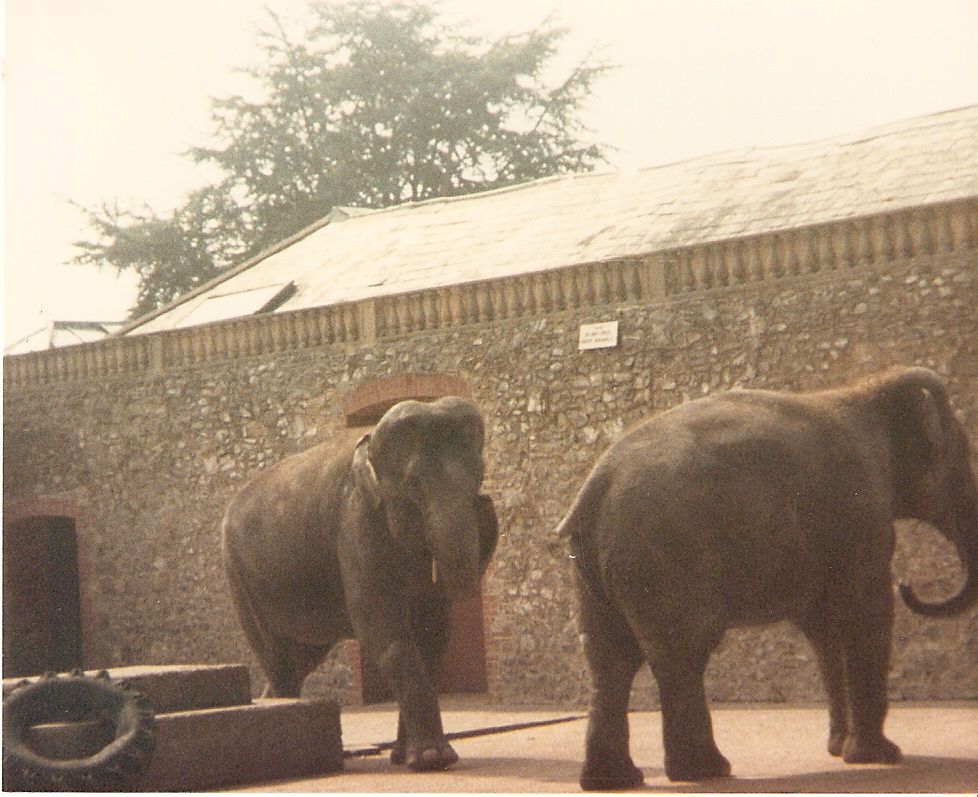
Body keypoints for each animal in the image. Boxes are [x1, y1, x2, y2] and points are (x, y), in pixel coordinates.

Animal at [221, 396, 498, 771]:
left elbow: (432, 637)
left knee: (301, 659)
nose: (486, 502)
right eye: (414, 483)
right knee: (279, 660)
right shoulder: (356, 521)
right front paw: (432, 760)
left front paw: (406, 757)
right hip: (241, 578)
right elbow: (386, 633)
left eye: (480, 474)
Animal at [557, 367, 978, 789]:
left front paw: (839, 750)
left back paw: (614, 780)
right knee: (681, 653)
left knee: (610, 660)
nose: (908, 585)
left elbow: (825, 628)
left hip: (594, 569)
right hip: (667, 557)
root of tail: (595, 489)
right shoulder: (860, 515)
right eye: (963, 463)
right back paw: (706, 771)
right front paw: (879, 757)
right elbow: (866, 613)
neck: (866, 390)